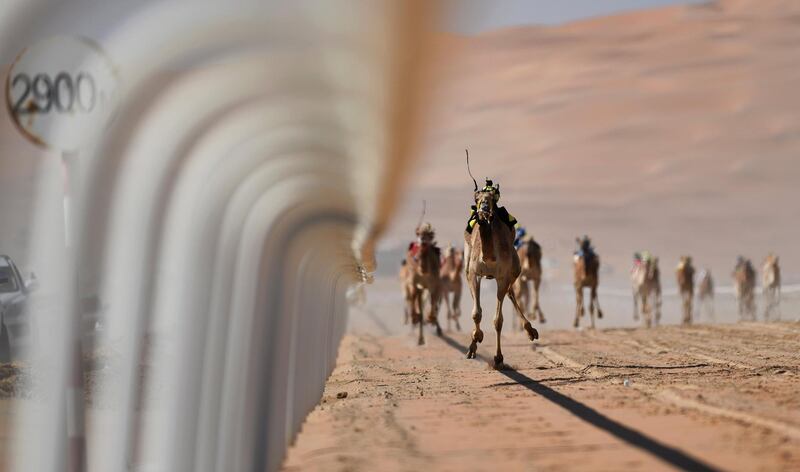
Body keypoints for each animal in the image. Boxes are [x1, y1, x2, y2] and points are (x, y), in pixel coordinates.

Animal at [462, 186, 536, 366]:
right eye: (477, 198)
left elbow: (498, 321)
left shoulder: (503, 277)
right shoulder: (474, 273)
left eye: (491, 198)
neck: (489, 257)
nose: (484, 208)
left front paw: (498, 357)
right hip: (467, 264)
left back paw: (531, 331)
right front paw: (475, 341)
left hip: (515, 267)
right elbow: (476, 313)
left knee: (511, 293)